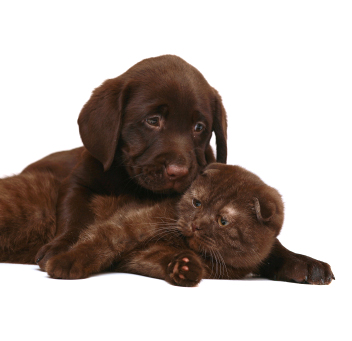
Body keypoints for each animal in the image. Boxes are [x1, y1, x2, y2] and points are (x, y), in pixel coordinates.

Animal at [45, 163, 284, 286]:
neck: (178, 242)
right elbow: (100, 242)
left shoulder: (141, 256)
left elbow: (158, 261)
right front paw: (65, 262)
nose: (195, 225)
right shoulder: (128, 225)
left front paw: (185, 268)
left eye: (222, 221)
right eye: (197, 203)